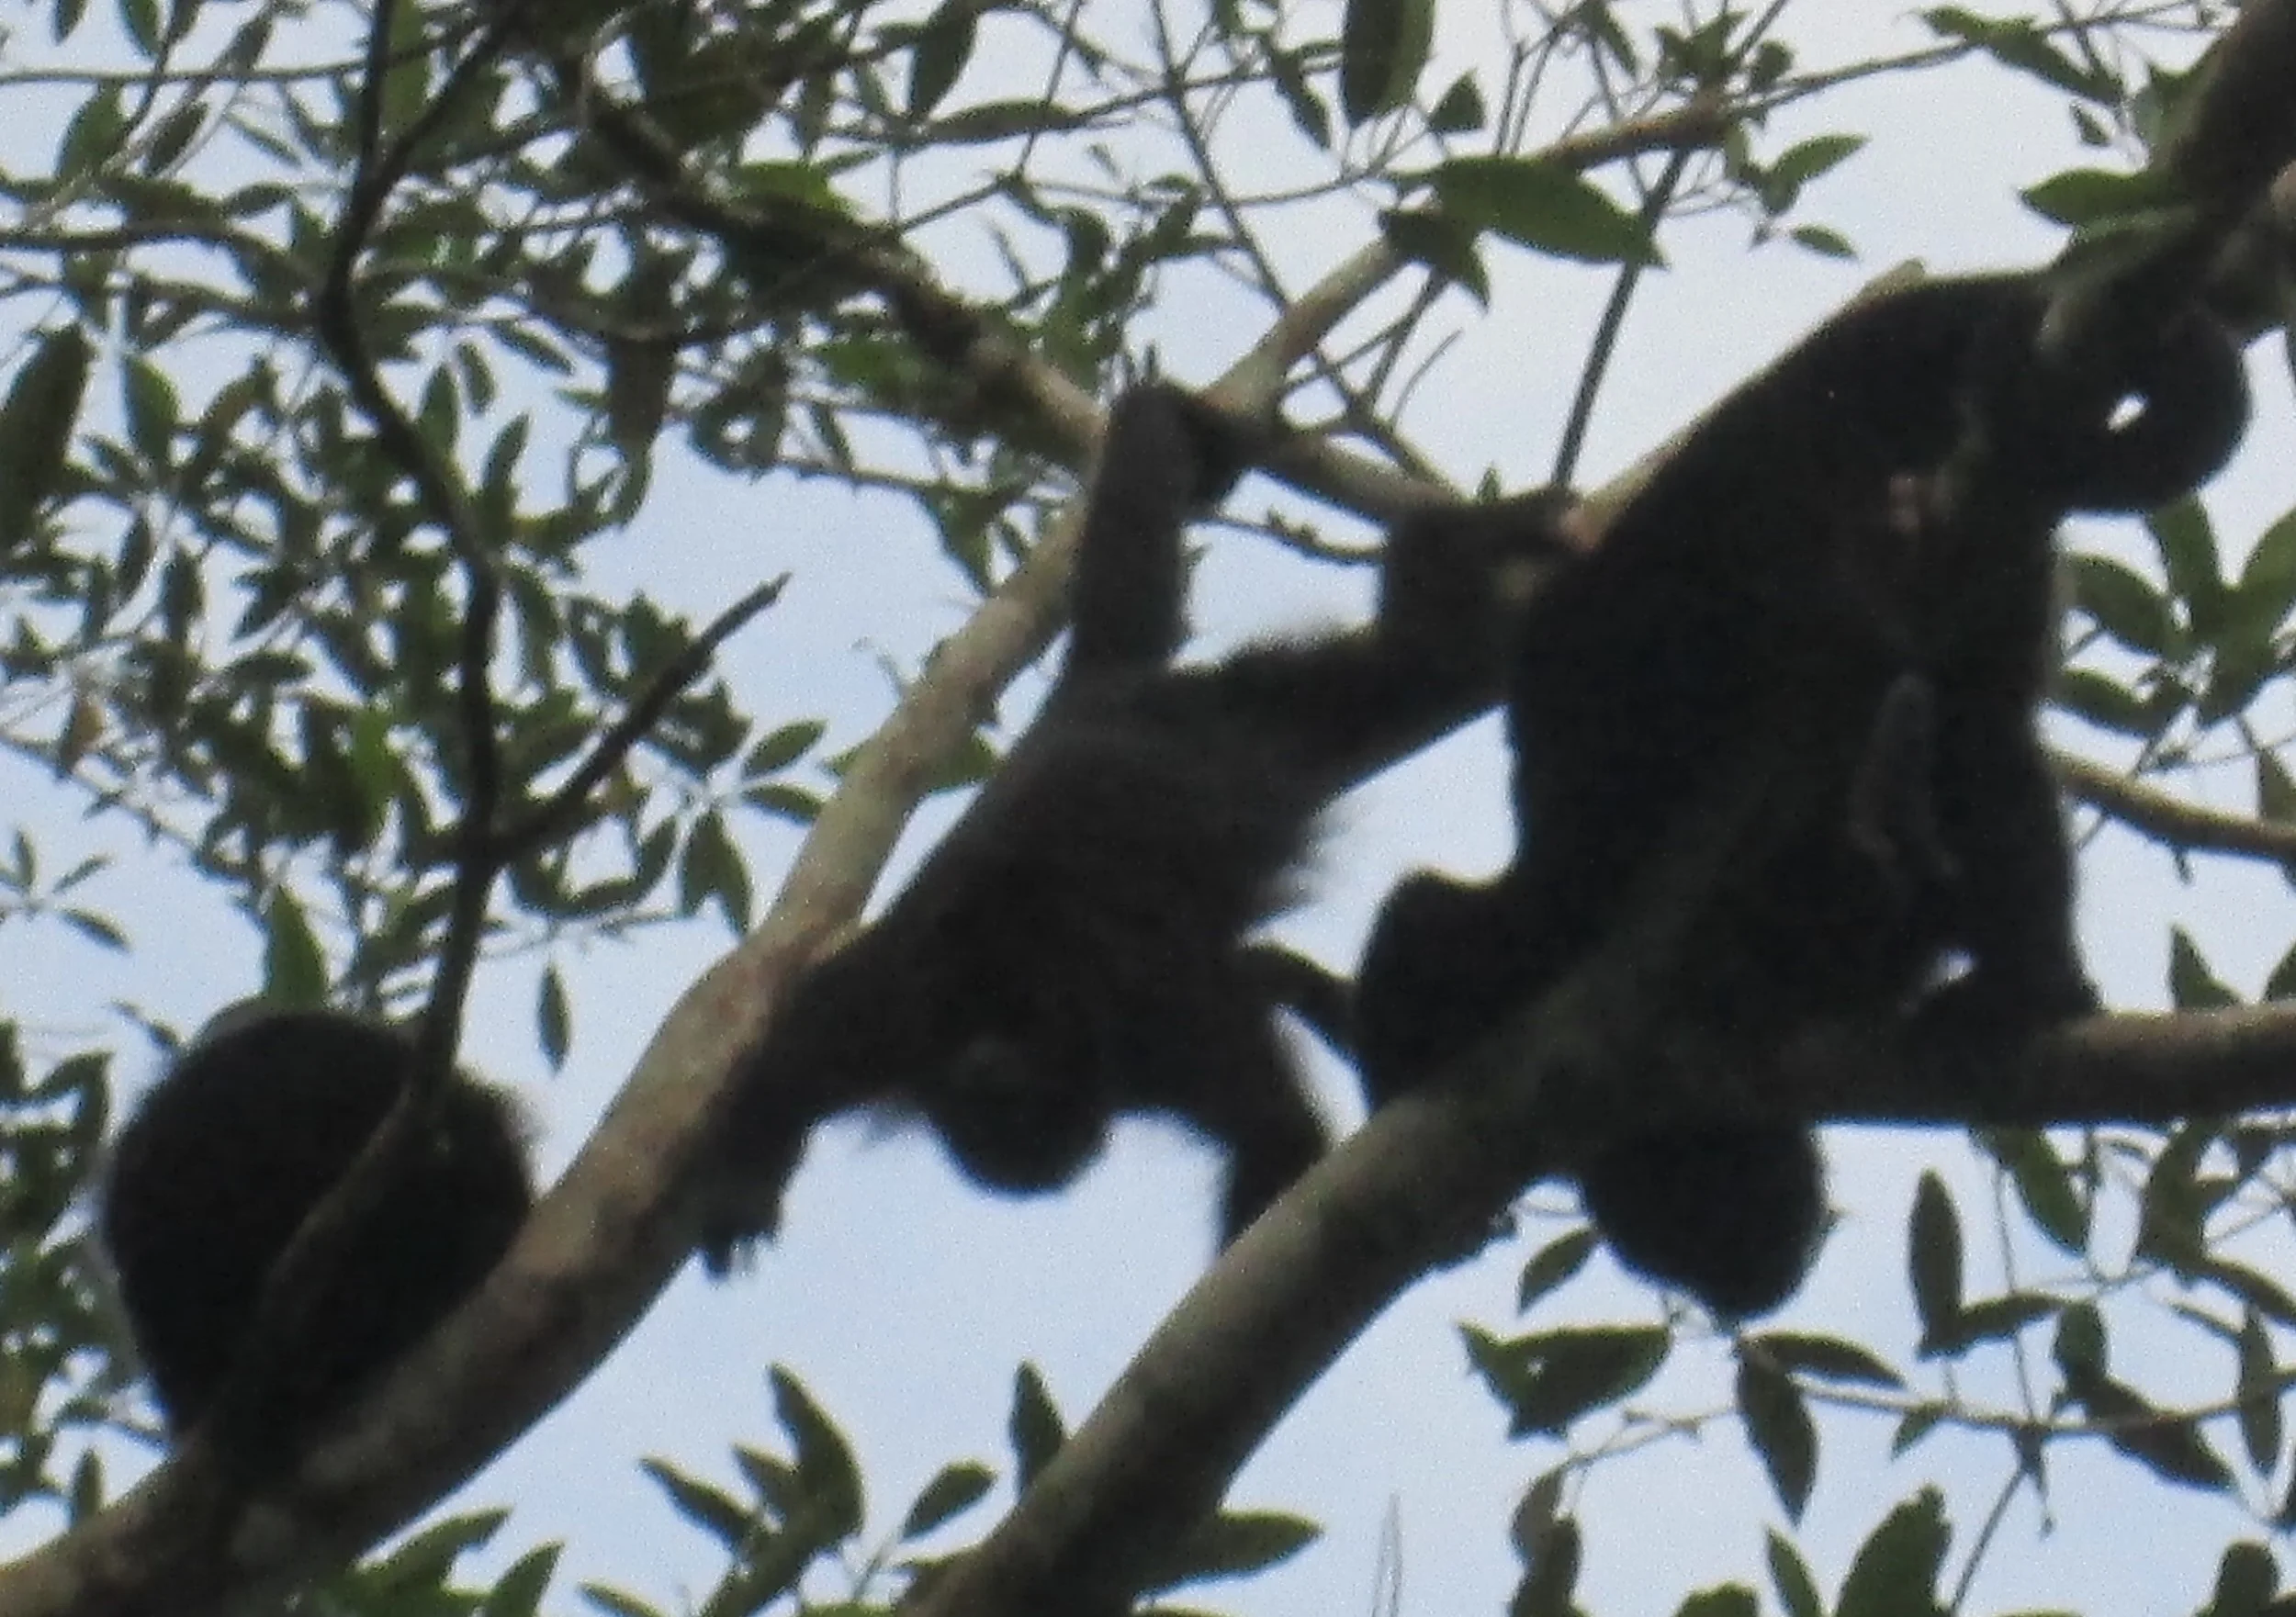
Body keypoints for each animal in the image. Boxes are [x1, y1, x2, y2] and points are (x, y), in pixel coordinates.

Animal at [698, 383, 1577, 1272]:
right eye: (995, 1121)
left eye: (1024, 1108)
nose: (992, 1078)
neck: (1010, 987)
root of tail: (1096, 694)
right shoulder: (898, 1012)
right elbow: (794, 1038)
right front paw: (741, 1178)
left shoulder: (1152, 1021)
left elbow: (1274, 1131)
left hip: (1256, 705)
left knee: (1432, 656)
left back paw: (1462, 537)